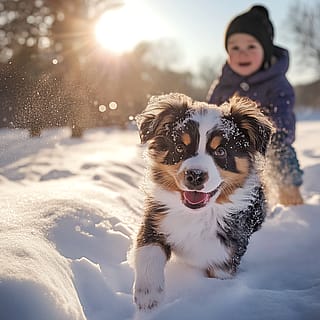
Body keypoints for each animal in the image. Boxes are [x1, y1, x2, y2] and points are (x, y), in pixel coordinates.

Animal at [132, 92, 272, 310]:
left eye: (221, 151)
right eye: (180, 147)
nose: (195, 175)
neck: (196, 215)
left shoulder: (226, 255)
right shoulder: (156, 219)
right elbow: (149, 251)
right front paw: (148, 294)